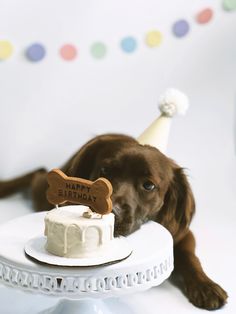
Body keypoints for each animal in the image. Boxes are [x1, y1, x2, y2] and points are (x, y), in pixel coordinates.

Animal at [0, 132, 229, 310]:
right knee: (37, 173)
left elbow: (191, 258)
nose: (114, 212)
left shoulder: (182, 234)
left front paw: (205, 285)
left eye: (148, 185)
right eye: (105, 171)